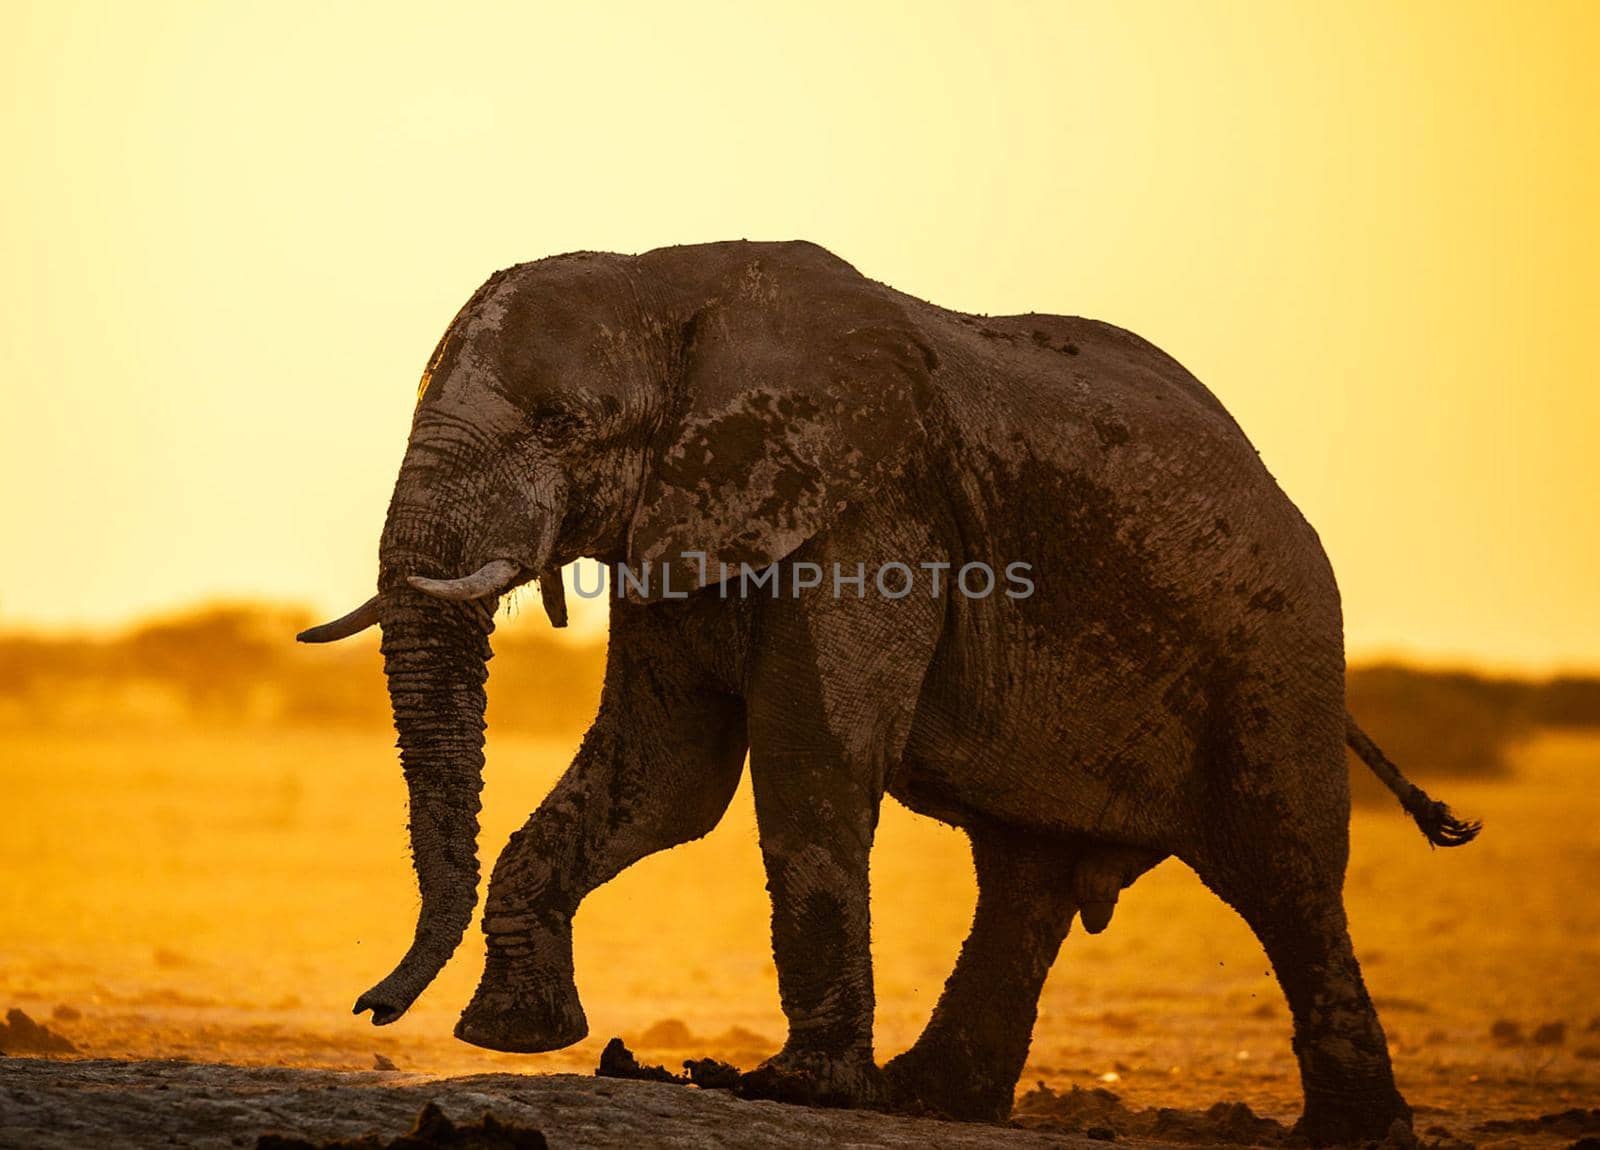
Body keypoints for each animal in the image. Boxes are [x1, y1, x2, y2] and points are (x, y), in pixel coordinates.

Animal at [297, 239, 1472, 1145]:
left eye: (555, 423)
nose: (371, 1005)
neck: (670, 283)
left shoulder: (875, 517)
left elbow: (808, 757)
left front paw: (795, 1090)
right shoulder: (686, 517)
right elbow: (663, 780)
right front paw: (511, 1035)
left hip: (1276, 649)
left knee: (1286, 875)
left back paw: (1353, 1133)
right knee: (1025, 879)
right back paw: (932, 1100)